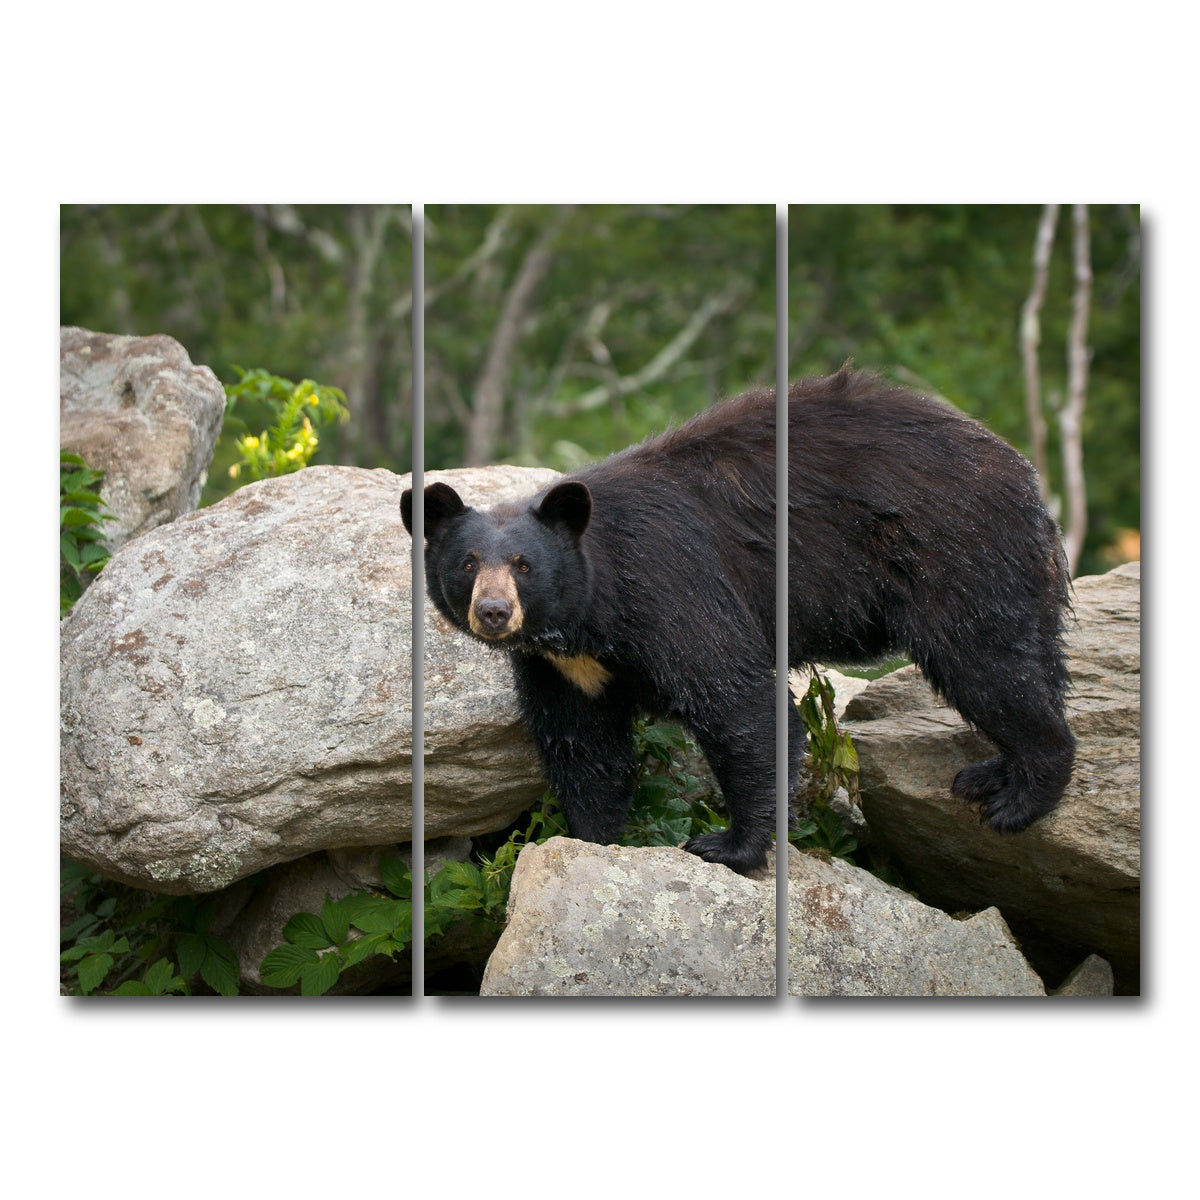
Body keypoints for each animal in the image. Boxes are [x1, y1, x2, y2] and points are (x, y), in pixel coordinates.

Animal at [402, 367, 1074, 875]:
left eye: (524, 565)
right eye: (467, 563)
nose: (493, 612)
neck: (590, 616)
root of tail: (1026, 479)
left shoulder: (671, 587)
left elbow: (740, 704)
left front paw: (729, 845)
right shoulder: (564, 667)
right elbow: (584, 745)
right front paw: (592, 838)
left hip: (957, 555)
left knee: (986, 664)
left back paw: (1019, 796)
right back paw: (993, 774)